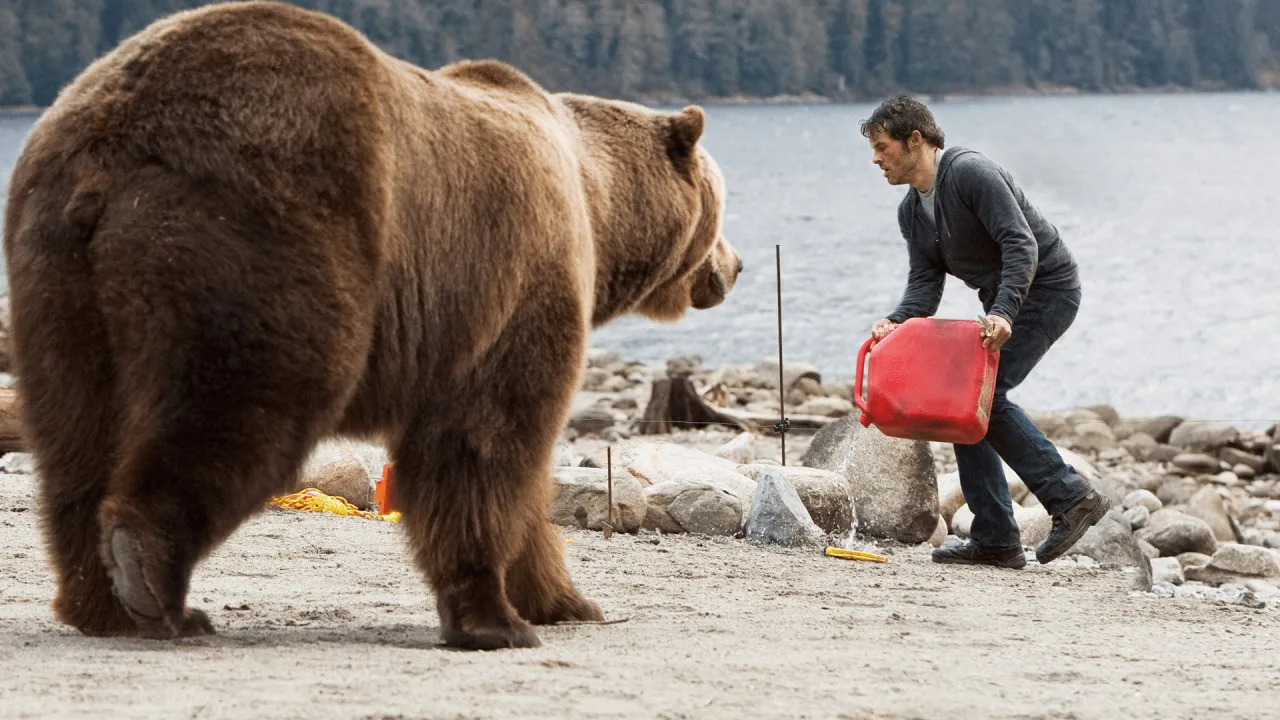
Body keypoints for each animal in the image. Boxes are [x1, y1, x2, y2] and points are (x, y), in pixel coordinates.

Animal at [2, 0, 741, 650]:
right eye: (721, 206)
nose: (733, 268)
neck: (598, 204)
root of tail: (113, 140)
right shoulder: (513, 291)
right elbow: (486, 444)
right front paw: (496, 619)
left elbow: (521, 478)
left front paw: (564, 599)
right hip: (265, 234)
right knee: (241, 404)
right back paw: (152, 575)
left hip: (57, 274)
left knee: (79, 433)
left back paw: (102, 603)